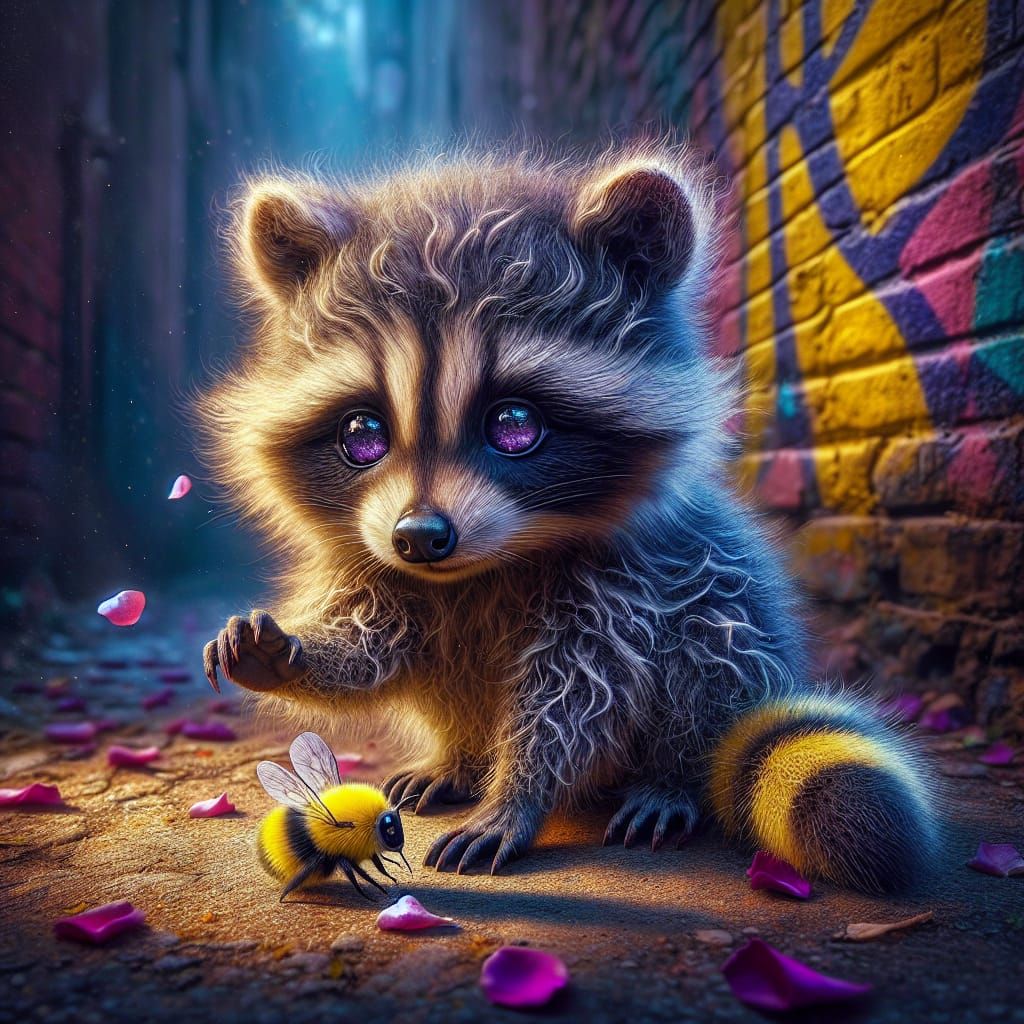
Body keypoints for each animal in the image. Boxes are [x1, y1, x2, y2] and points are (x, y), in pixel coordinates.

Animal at [199, 142, 936, 891]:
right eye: (362, 435)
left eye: (515, 426)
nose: (419, 538)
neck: (482, 569)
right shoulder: (387, 568)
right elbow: (376, 644)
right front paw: (292, 653)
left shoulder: (629, 582)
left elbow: (578, 696)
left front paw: (520, 792)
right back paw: (461, 757)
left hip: (725, 613)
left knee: (710, 642)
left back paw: (669, 776)